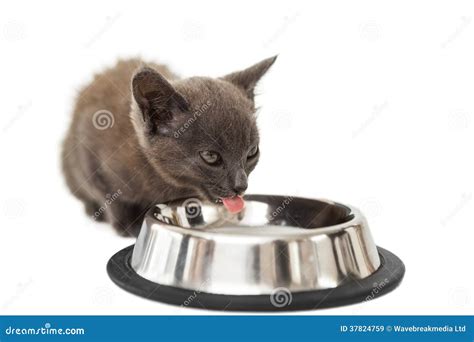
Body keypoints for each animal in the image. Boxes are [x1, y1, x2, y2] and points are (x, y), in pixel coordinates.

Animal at [63, 56, 278, 235]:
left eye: (252, 152)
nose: (241, 186)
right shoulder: (90, 148)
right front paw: (129, 225)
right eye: (210, 156)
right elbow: (111, 197)